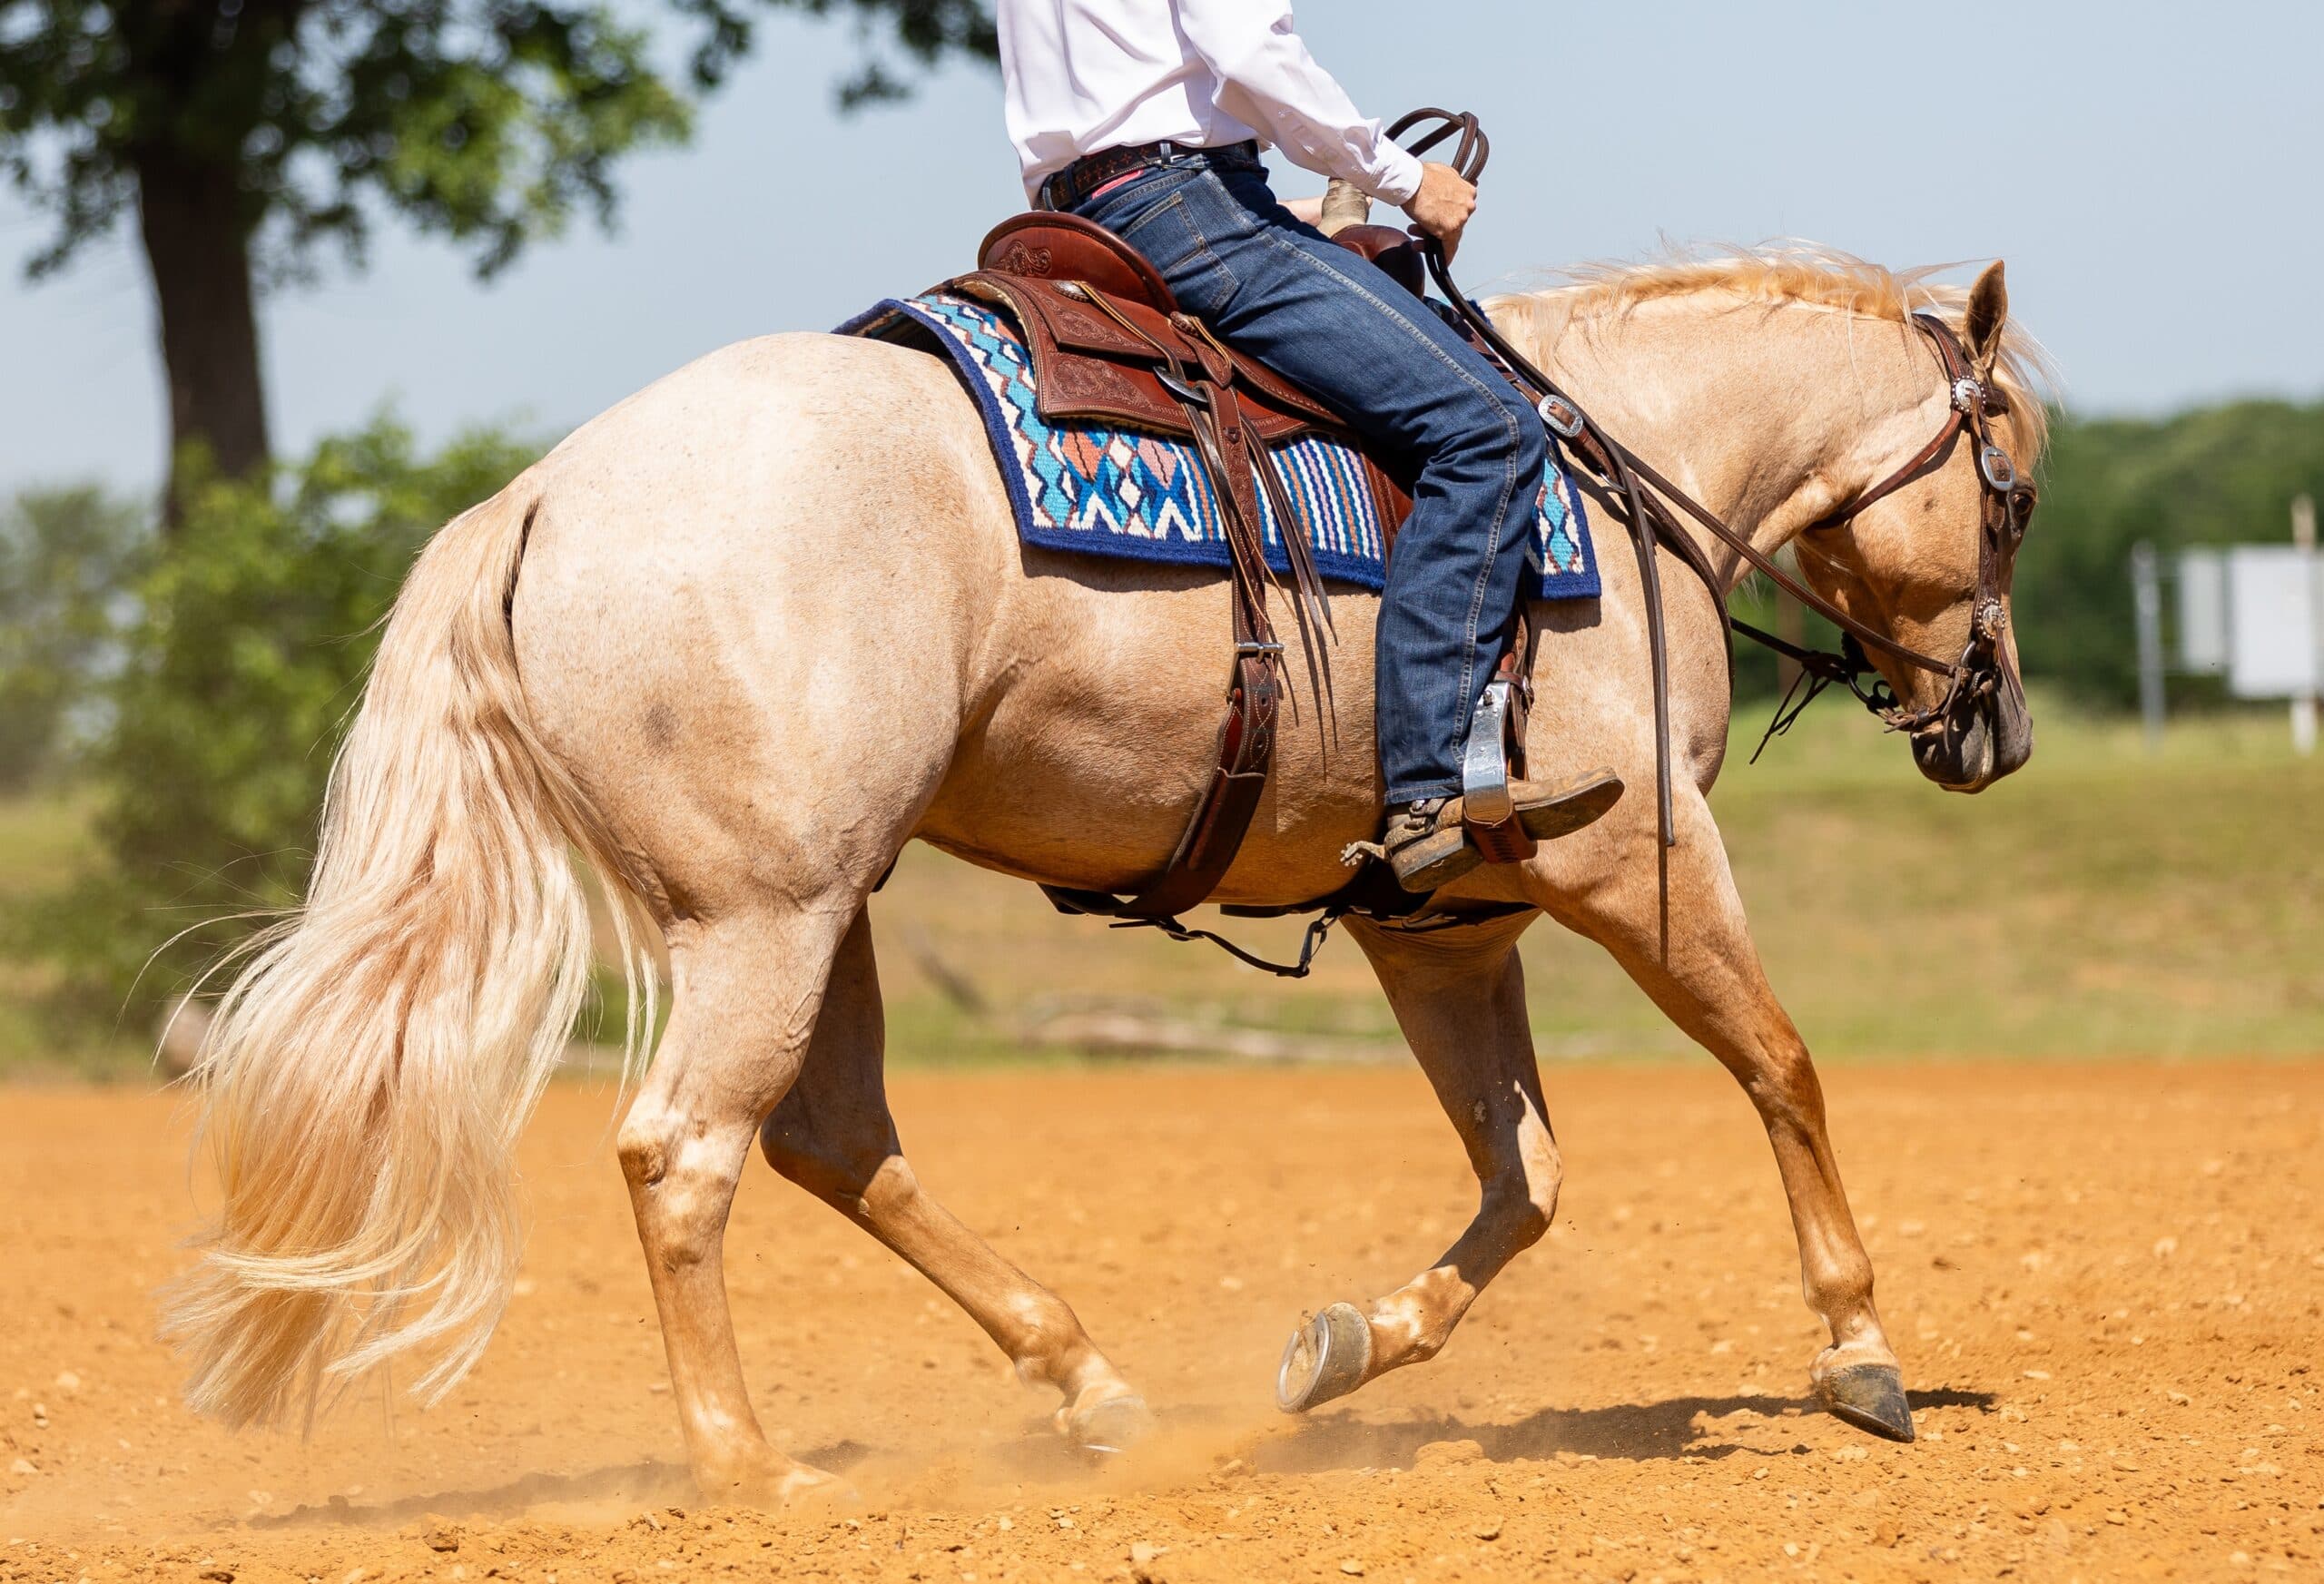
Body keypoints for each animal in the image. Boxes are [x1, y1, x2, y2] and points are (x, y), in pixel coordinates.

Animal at [163, 246, 2048, 1504]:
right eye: (2014, 495)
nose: (1999, 728)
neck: (1608, 475)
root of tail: (544, 496)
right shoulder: (1645, 855)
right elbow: (1779, 1067)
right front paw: (1859, 1353)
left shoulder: (1442, 919)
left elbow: (1525, 1178)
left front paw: (1344, 1348)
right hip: (763, 920)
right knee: (685, 1157)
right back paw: (752, 1469)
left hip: (818, 911)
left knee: (832, 1141)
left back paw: (1089, 1387)